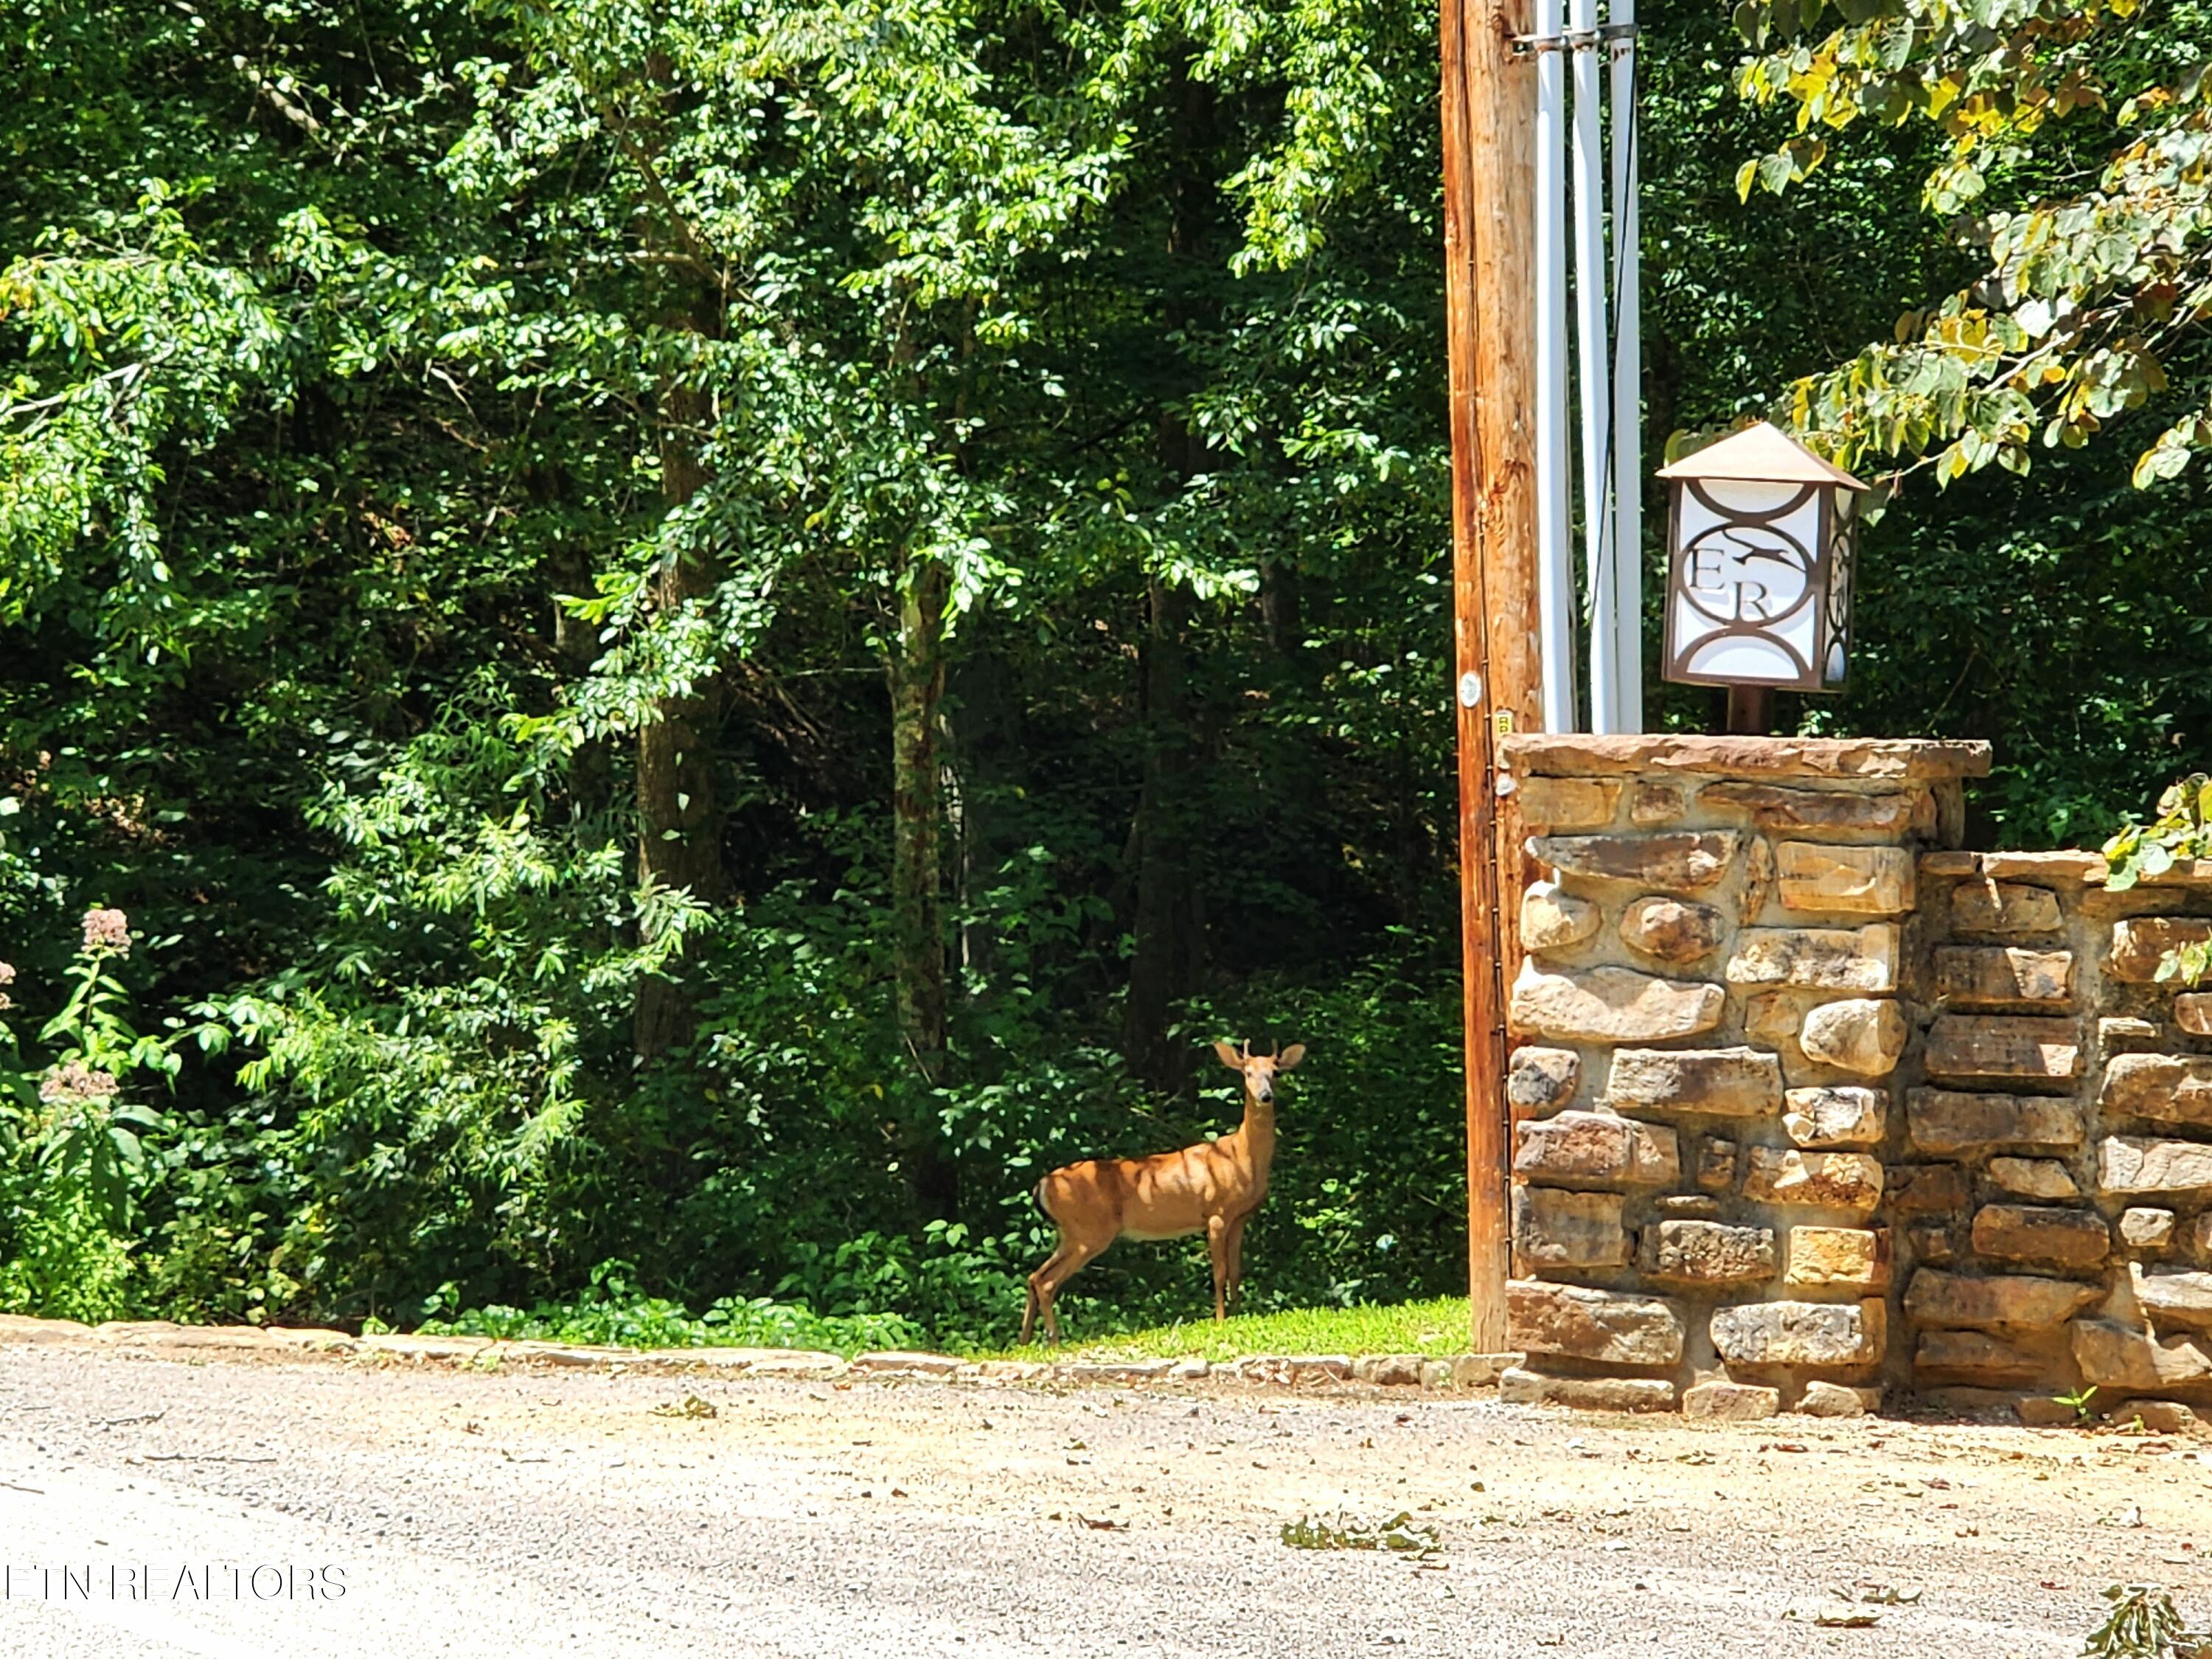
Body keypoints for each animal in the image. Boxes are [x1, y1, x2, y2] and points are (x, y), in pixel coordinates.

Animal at [1020, 1039, 1305, 1345]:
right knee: (1047, 1281)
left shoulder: (1240, 1217)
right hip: (1089, 1231)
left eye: (1276, 1072)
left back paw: (1025, 1341)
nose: (1265, 1096)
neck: (1242, 1156)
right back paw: (1053, 1340)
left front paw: (1239, 1314)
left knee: (1035, 1276)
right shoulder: (1216, 1212)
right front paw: (1220, 1320)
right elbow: (1219, 1272)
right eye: (1247, 1072)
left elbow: (1236, 1272)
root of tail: (1042, 1185)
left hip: (1071, 1233)